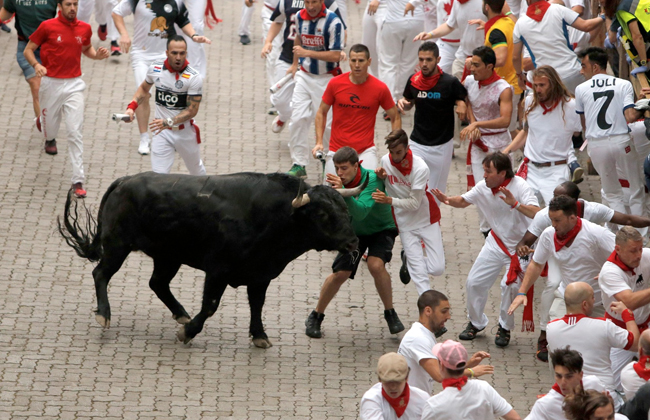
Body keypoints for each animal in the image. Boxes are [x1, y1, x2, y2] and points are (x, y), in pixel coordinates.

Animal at [57, 171, 364, 348]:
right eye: (322, 214)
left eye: (346, 212)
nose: (353, 242)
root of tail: (123, 181)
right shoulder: (218, 270)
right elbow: (210, 306)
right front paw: (188, 333)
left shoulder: (261, 274)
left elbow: (257, 304)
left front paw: (260, 335)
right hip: (117, 246)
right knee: (101, 274)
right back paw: (104, 315)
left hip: (168, 256)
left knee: (157, 283)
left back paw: (180, 313)